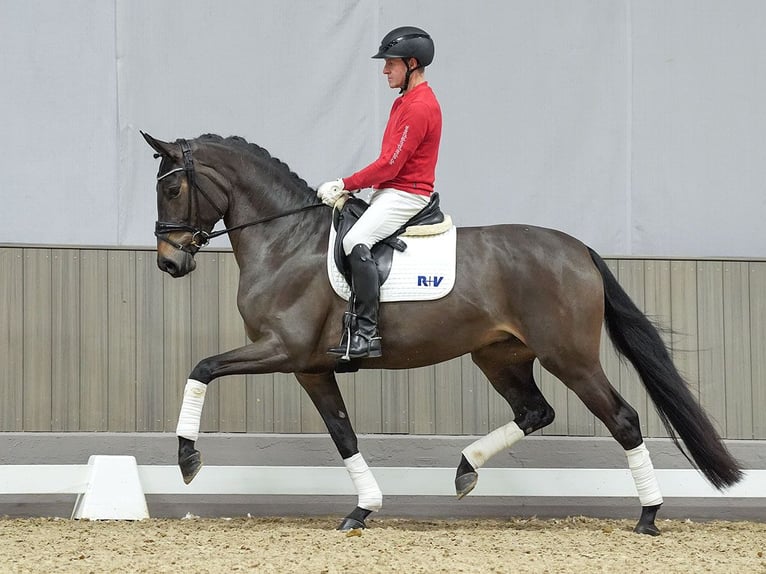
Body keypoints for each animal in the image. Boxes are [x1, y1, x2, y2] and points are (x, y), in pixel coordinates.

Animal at [142, 130, 744, 536]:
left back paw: (648, 515)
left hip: (569, 358)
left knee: (623, 418)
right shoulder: (310, 367)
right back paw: (465, 470)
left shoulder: (281, 351)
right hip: (499, 356)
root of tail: (578, 250)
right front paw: (363, 510)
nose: (169, 263)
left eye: (171, 190)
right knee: (535, 412)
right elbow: (344, 435)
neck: (286, 241)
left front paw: (188, 460)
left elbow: (201, 368)